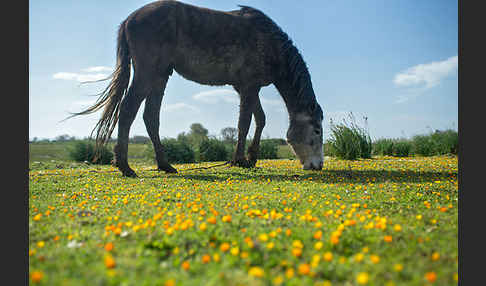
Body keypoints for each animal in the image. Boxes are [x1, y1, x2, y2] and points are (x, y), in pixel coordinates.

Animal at [73, 0, 322, 177]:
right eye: (317, 131)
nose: (318, 165)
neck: (269, 43)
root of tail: (129, 20)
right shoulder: (249, 87)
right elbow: (245, 123)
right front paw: (239, 160)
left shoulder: (248, 88)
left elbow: (259, 119)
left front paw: (251, 158)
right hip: (147, 75)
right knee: (127, 111)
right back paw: (125, 166)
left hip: (159, 77)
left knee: (150, 117)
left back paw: (165, 165)